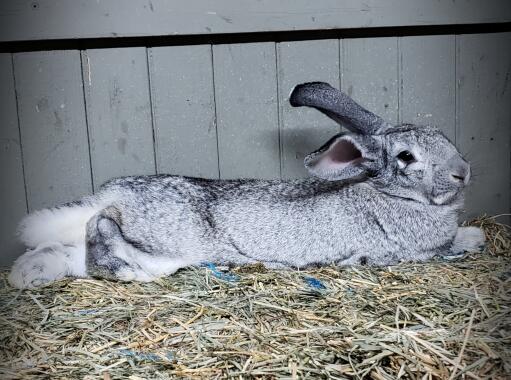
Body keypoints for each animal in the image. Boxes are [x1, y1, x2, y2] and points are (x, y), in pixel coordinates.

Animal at [9, 81, 488, 288]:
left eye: (442, 135)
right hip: (158, 231)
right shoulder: (414, 250)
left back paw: (27, 276)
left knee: (64, 249)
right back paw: (128, 270)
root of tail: (113, 192)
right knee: (101, 225)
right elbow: (454, 244)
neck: (391, 194)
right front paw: (476, 238)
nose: (463, 171)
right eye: (407, 157)